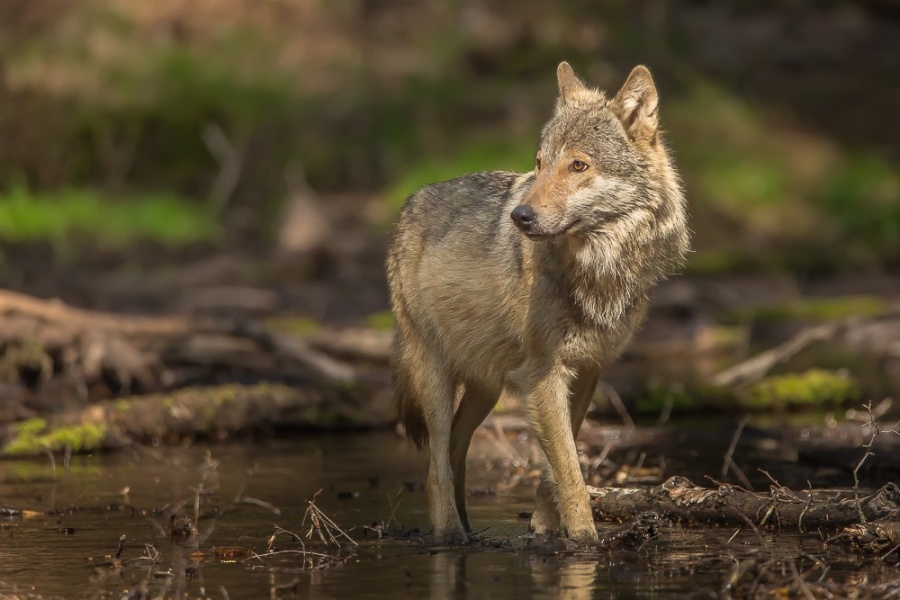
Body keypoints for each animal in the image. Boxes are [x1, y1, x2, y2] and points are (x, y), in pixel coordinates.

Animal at [386, 61, 688, 544]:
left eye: (578, 165)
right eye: (540, 164)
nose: (520, 217)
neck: (598, 269)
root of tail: (408, 203)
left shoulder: (585, 372)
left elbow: (556, 473)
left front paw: (546, 537)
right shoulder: (544, 373)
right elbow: (572, 476)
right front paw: (585, 543)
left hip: (487, 387)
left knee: (454, 448)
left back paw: (469, 529)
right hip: (435, 376)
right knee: (435, 464)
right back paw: (450, 535)